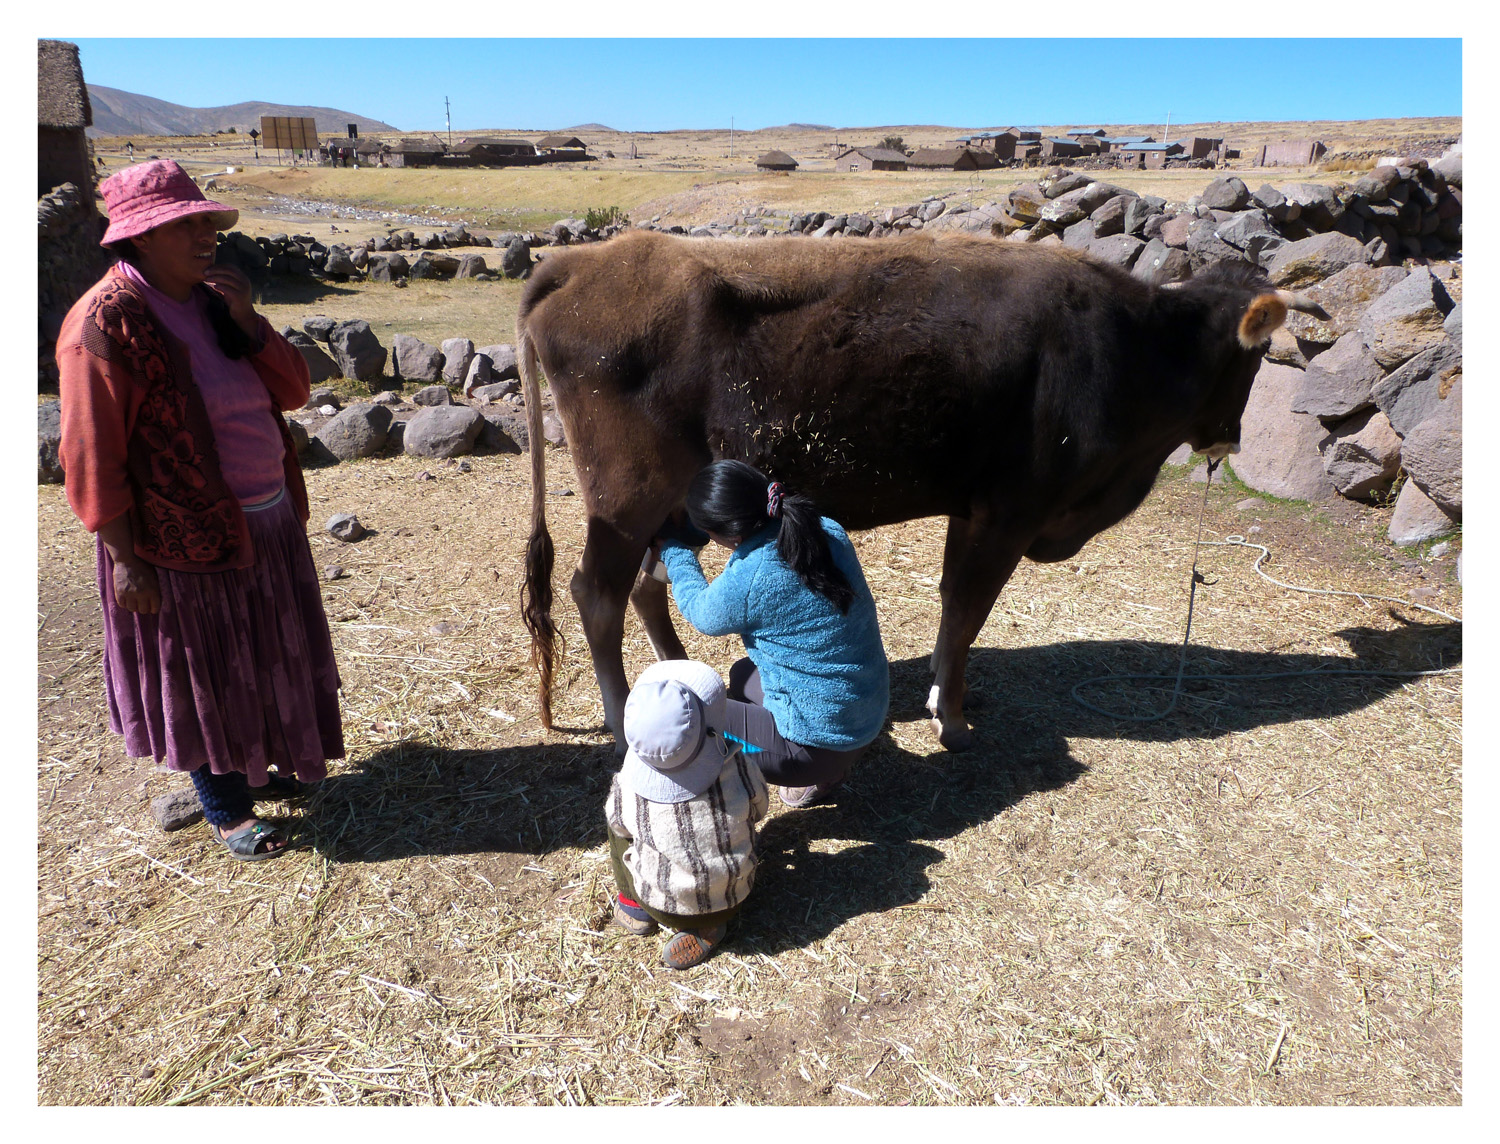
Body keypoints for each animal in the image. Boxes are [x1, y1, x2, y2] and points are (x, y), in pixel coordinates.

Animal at [516, 230, 1325, 752]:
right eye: (1253, 360)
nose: (1231, 438)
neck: (1132, 345)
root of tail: (586, 261)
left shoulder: (971, 512)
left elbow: (952, 608)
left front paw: (943, 692)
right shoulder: (1007, 512)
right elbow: (967, 611)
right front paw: (954, 719)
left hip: (672, 503)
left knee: (648, 586)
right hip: (625, 500)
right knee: (597, 591)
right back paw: (619, 716)